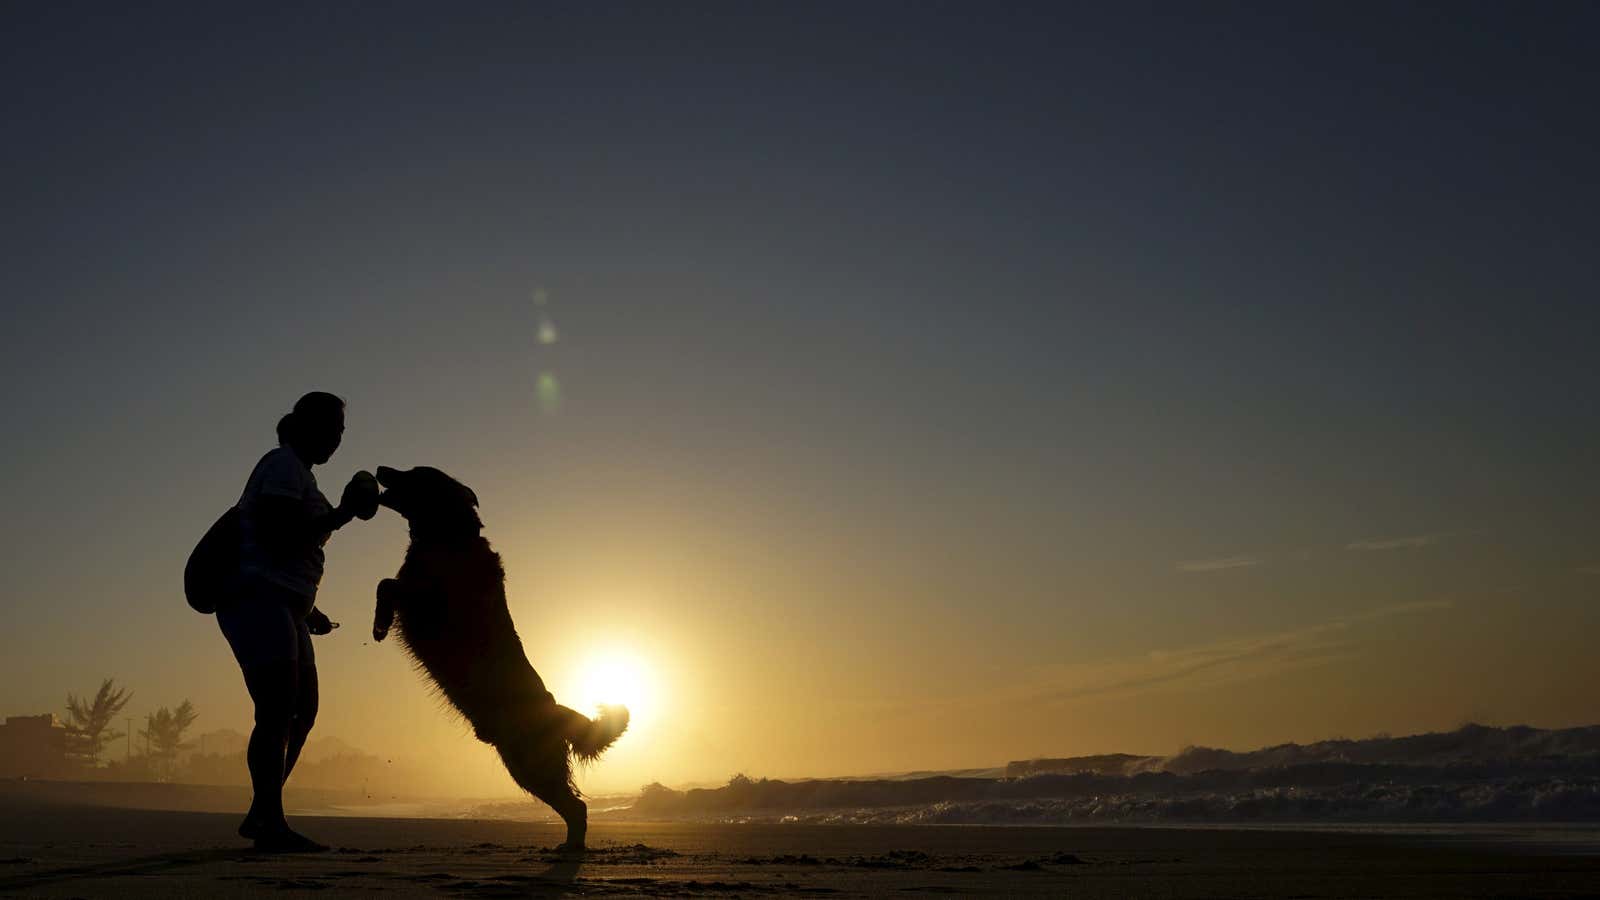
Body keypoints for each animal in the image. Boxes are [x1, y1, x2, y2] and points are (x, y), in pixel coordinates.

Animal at [371, 461, 627, 845]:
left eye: (415, 474)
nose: (380, 468)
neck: (448, 536)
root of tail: (556, 711)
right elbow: (388, 582)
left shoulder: (430, 603)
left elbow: (386, 584)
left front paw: (380, 624)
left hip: (529, 764)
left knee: (577, 807)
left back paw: (570, 847)